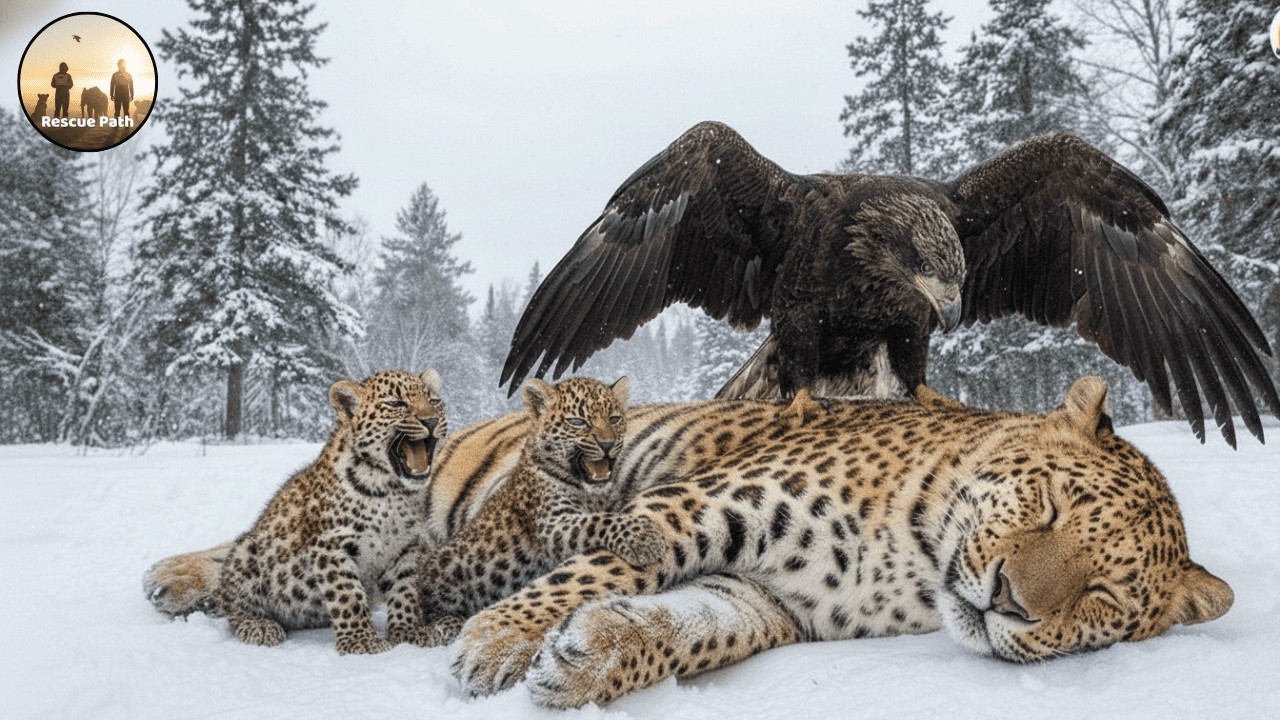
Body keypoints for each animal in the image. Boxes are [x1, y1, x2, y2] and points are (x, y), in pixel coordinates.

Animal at [213, 368, 448, 655]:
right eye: (396, 404)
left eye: (434, 401)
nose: (431, 421)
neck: (393, 492)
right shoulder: (332, 547)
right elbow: (347, 594)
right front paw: (361, 640)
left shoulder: (405, 547)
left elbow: (405, 591)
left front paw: (409, 632)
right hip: (246, 551)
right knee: (233, 607)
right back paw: (260, 626)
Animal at [405, 375, 666, 647]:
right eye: (578, 422)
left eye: (614, 419)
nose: (608, 444)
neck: (593, 491)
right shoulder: (552, 525)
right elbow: (598, 521)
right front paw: (644, 538)